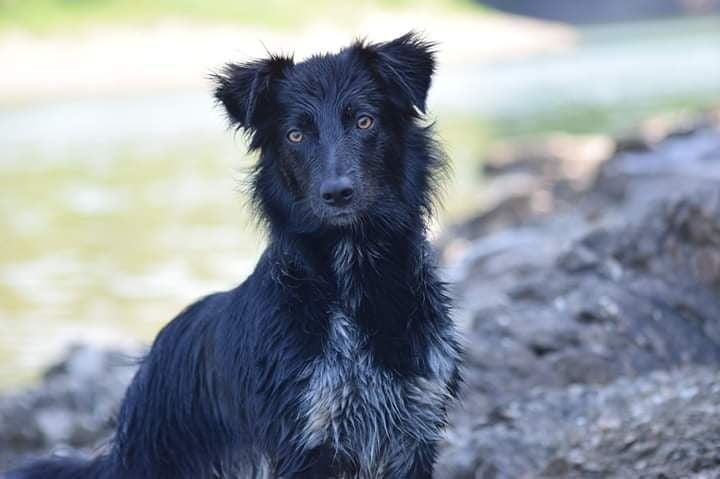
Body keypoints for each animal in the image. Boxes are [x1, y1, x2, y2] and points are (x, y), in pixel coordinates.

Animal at [8, 31, 462, 478]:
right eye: (295, 135)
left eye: (365, 121)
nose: (337, 194)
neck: (353, 275)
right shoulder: (306, 439)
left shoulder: (414, 429)